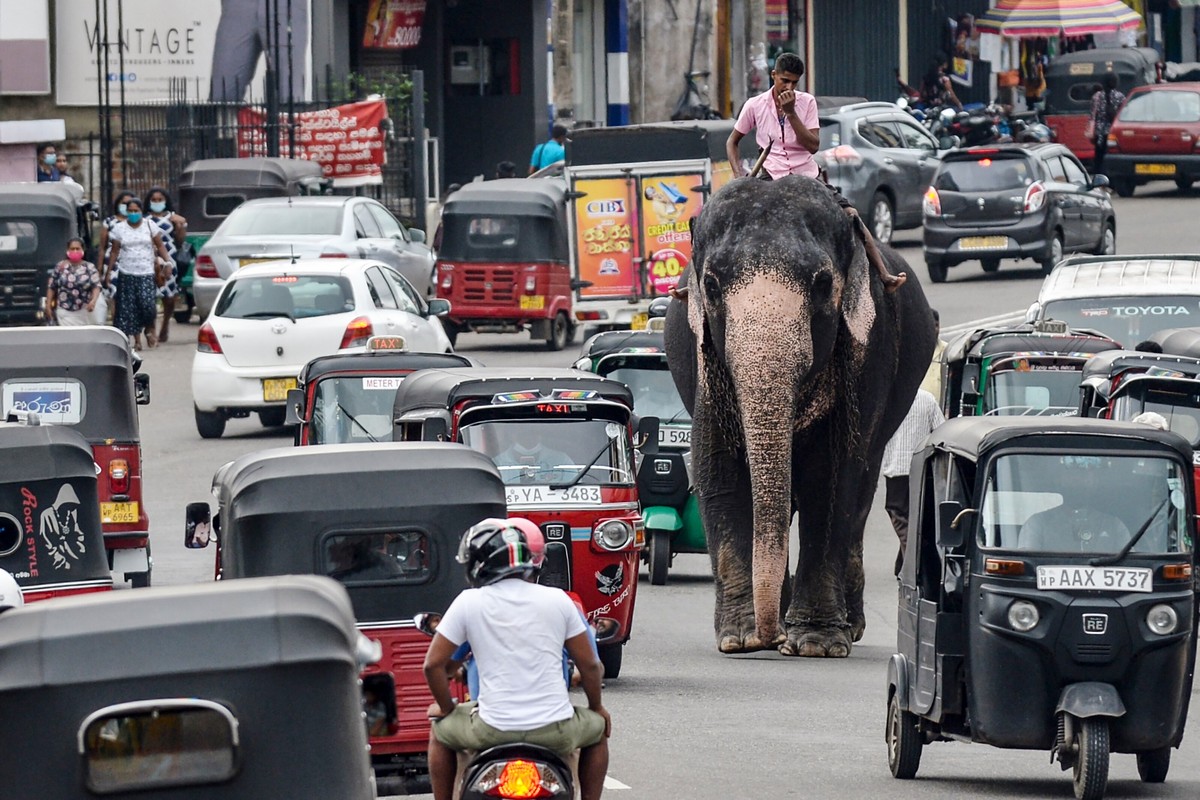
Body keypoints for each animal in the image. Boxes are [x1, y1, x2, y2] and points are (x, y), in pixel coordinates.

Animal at [667, 178, 936, 662]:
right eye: (711, 286)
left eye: (823, 283)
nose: (769, 638)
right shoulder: (705, 363)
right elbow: (718, 466)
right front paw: (741, 640)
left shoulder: (868, 353)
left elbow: (830, 478)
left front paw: (815, 645)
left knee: (862, 489)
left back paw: (847, 624)